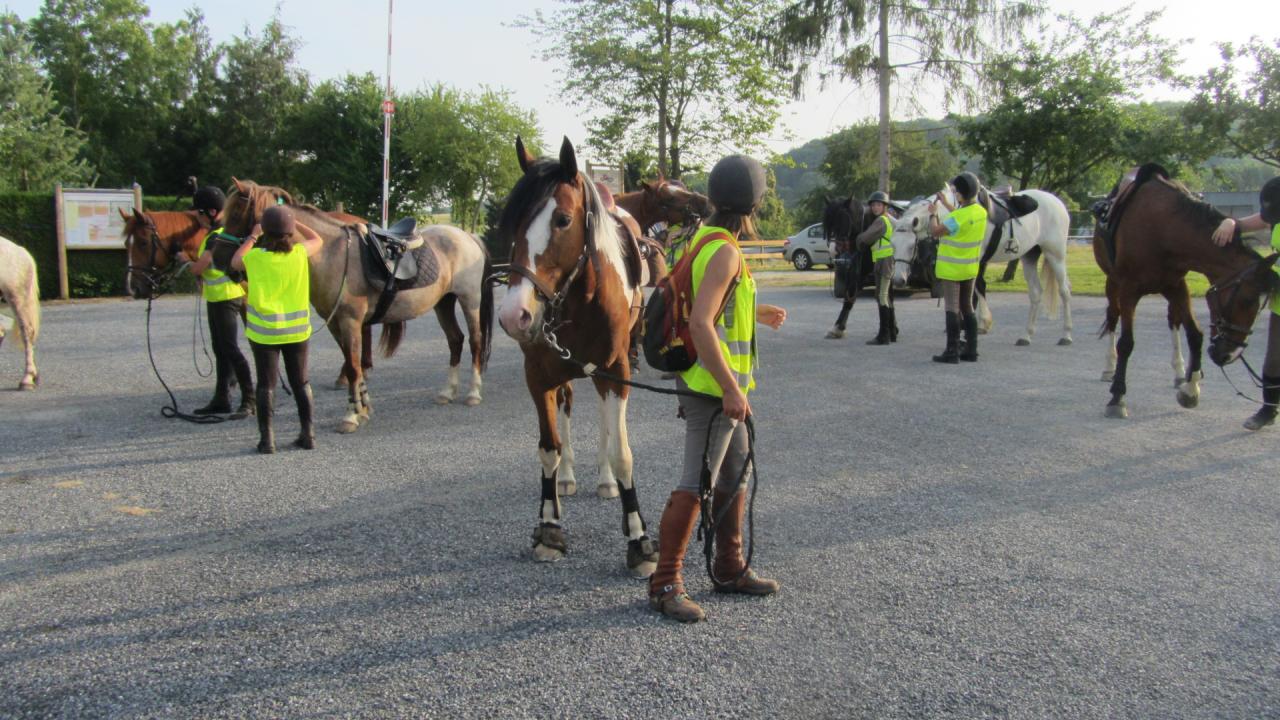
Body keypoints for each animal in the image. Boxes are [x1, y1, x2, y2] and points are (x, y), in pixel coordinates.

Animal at [222, 178, 491, 430]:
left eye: (236, 213)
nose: (225, 265)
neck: (331, 254)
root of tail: (466, 236)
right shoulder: (336, 324)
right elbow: (356, 364)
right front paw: (363, 409)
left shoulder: (350, 321)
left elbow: (353, 366)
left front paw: (350, 416)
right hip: (443, 303)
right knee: (455, 340)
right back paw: (448, 392)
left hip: (469, 300)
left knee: (475, 341)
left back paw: (473, 393)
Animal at [494, 135, 660, 576]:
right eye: (513, 223)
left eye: (563, 220)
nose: (514, 315)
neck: (580, 298)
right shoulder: (538, 375)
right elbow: (548, 448)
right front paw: (549, 528)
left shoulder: (615, 371)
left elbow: (621, 452)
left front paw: (639, 540)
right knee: (566, 409)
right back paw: (567, 478)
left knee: (604, 425)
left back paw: (604, 481)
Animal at [890, 183, 1070, 343]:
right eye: (892, 244)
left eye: (911, 245)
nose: (898, 280)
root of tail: (1057, 202)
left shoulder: (973, 260)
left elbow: (975, 289)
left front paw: (980, 323)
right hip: (1029, 256)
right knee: (1036, 293)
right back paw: (1026, 336)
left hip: (1055, 255)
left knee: (1064, 291)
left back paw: (1066, 335)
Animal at [1090, 163, 1280, 417]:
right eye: (1246, 300)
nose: (1229, 355)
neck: (1162, 228)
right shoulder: (1128, 289)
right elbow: (1126, 342)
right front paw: (1117, 397)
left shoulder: (1177, 286)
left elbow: (1195, 335)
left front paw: (1191, 388)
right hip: (1113, 284)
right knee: (1113, 318)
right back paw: (1109, 368)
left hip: (1168, 291)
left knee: (1173, 321)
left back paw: (1180, 372)